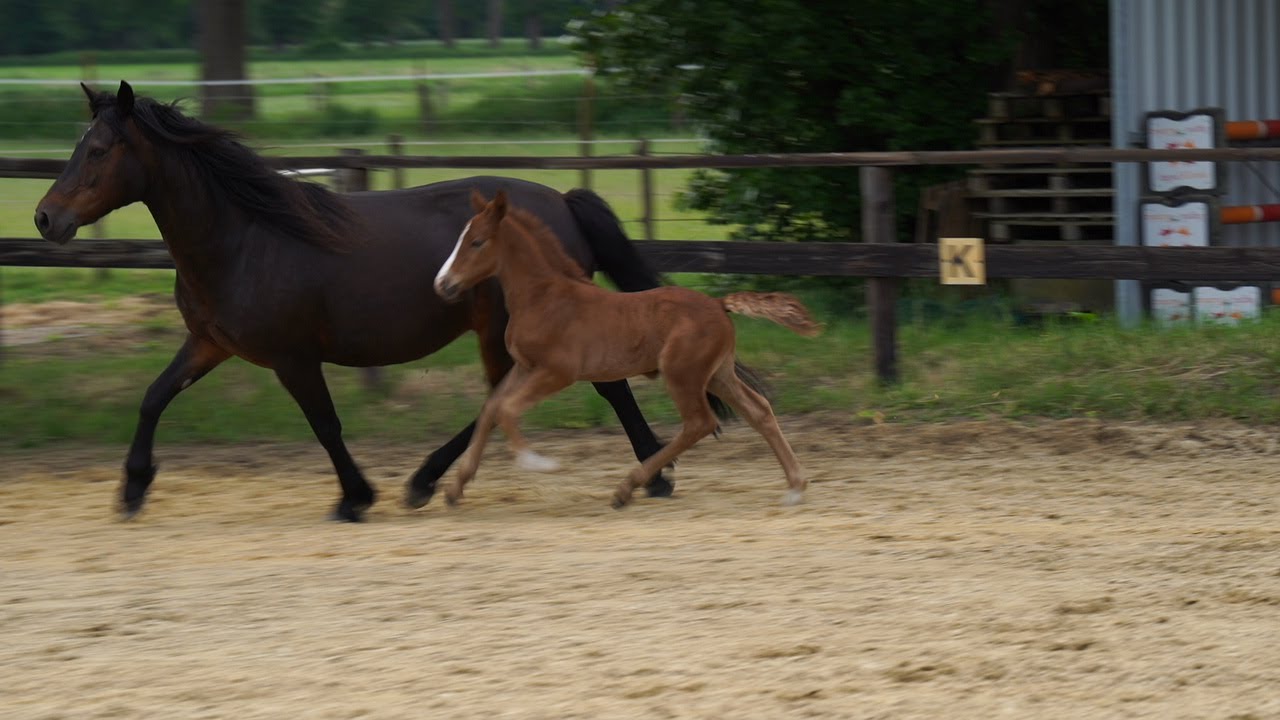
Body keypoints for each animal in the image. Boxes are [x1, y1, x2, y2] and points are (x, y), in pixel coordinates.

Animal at [33, 80, 676, 522]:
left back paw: (652, 476)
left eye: (99, 149)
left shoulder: (292, 357)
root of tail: (563, 202)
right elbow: (153, 397)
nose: (45, 218)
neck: (243, 238)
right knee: (505, 397)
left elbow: (325, 424)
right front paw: (132, 489)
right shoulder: (210, 343)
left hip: (514, 326)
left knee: (582, 388)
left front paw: (355, 498)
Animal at [434, 190, 821, 508]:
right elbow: (492, 408)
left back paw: (626, 488)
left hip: (682, 373)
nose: (443, 284)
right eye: (460, 240)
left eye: (477, 242)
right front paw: (455, 488)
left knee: (700, 422)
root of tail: (718, 303)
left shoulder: (557, 372)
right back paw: (795, 486)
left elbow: (508, 409)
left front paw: (539, 463)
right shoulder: (525, 366)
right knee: (759, 410)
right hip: (717, 374)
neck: (543, 297)